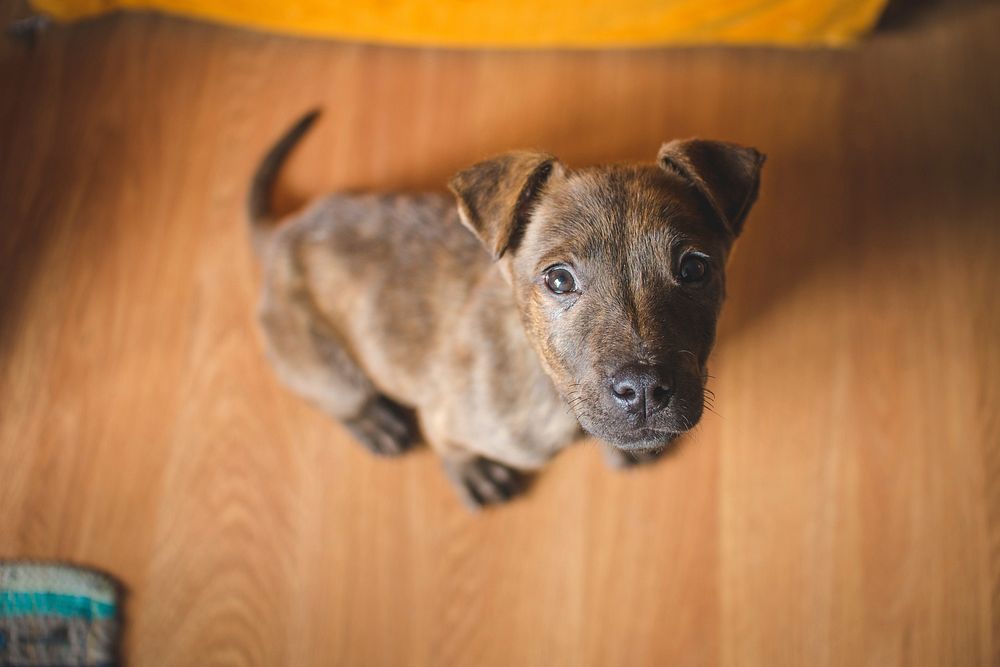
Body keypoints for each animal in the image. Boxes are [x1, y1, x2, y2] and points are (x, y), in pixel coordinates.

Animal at [250, 112, 764, 508]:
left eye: (694, 268)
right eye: (559, 279)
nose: (643, 391)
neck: (546, 379)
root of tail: (282, 234)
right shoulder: (446, 414)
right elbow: (450, 447)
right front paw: (472, 474)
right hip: (319, 364)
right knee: (340, 395)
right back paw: (373, 420)